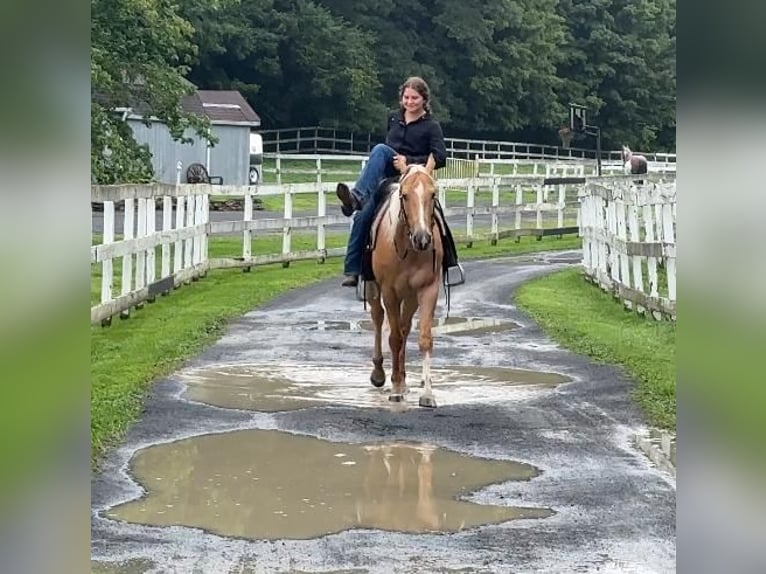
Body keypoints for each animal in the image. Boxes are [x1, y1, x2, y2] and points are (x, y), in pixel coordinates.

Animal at [368, 155, 444, 410]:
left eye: (433, 194)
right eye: (404, 195)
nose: (422, 239)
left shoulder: (427, 290)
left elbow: (423, 338)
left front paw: (427, 393)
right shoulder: (389, 292)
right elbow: (394, 338)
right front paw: (396, 391)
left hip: (410, 297)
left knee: (404, 327)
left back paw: (401, 379)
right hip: (375, 291)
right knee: (378, 319)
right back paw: (382, 374)